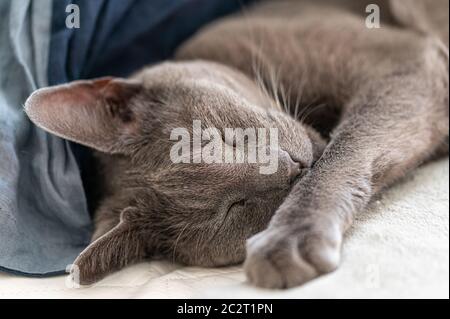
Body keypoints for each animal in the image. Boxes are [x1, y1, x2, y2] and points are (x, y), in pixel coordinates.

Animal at [23, 0, 446, 290]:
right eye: (233, 209)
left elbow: (340, 154)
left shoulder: (403, 61)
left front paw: (289, 239)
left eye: (221, 138)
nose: (288, 168)